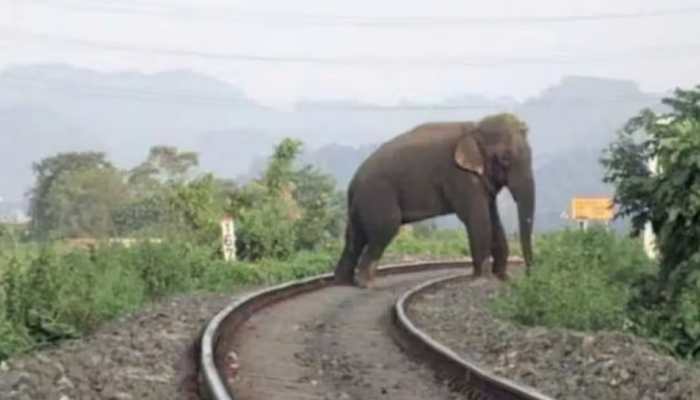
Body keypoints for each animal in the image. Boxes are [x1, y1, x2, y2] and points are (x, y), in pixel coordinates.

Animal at [333, 113, 535, 288]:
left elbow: (494, 220)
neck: (474, 127)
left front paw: (502, 277)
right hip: (377, 195)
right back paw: (365, 284)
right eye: (505, 159)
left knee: (355, 237)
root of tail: (353, 183)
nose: (528, 275)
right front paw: (483, 280)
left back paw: (343, 281)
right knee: (384, 229)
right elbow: (478, 219)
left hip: (361, 203)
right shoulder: (459, 176)